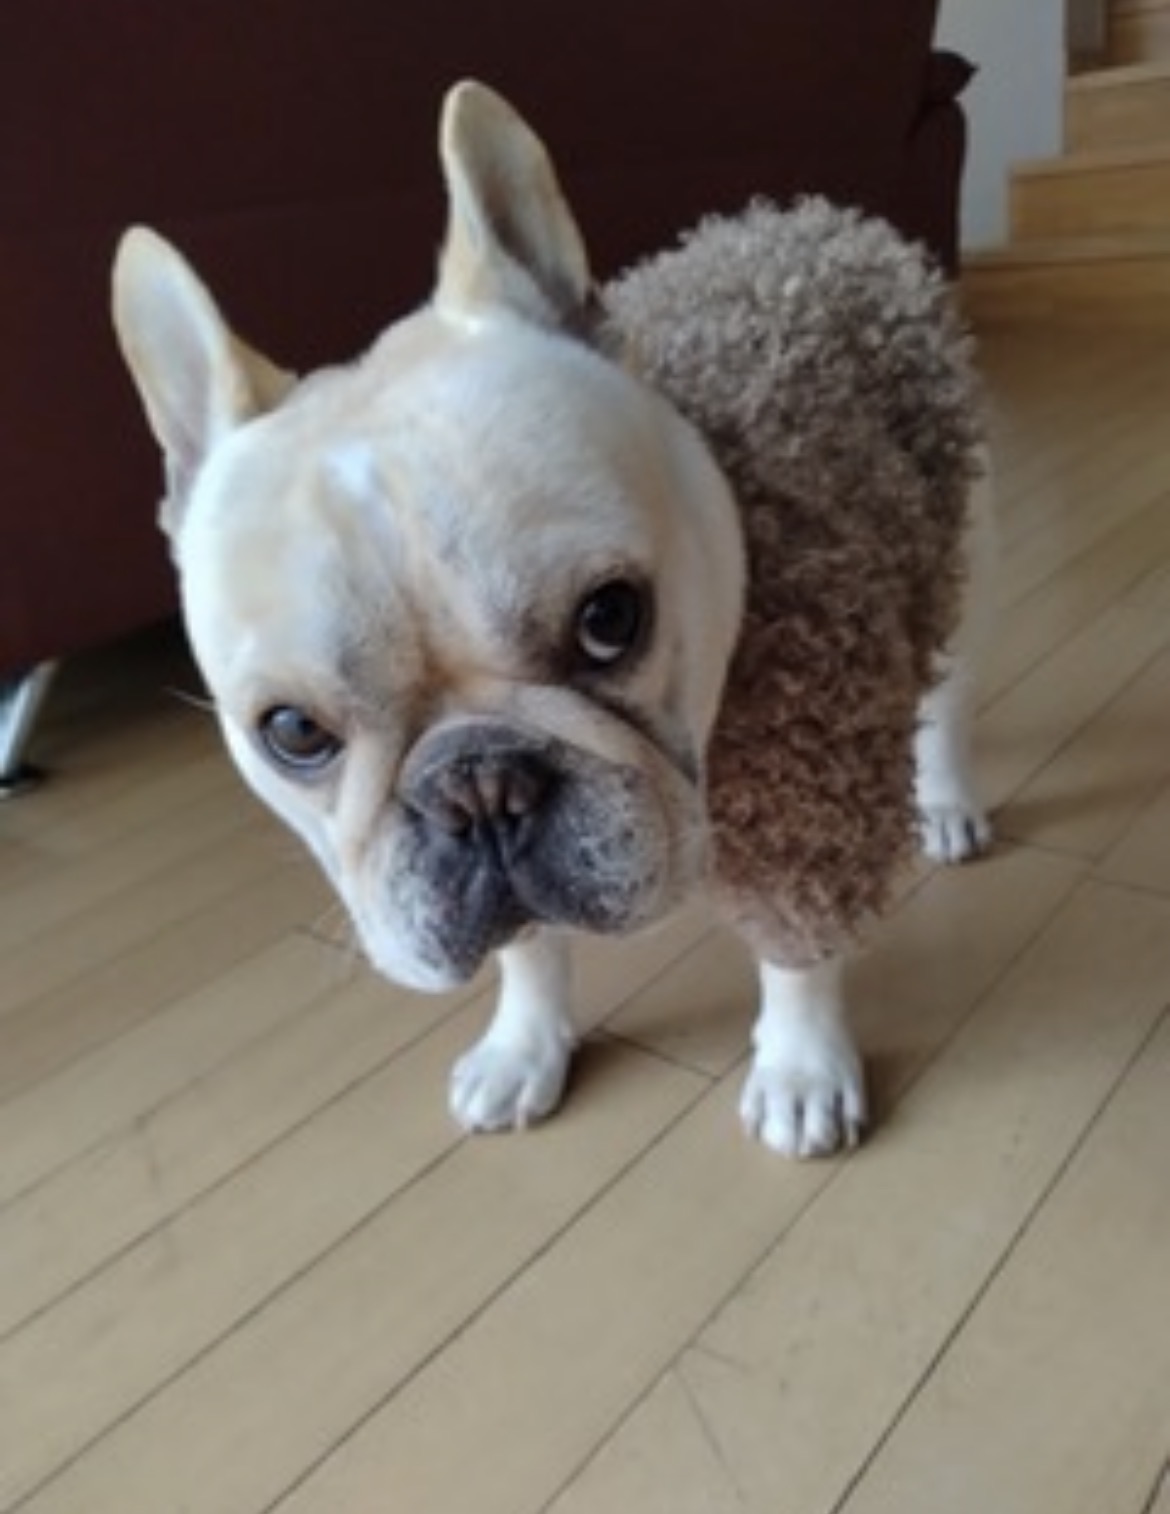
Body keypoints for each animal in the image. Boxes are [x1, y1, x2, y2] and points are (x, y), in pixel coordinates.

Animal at [113, 81, 992, 1158]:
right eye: (292, 733)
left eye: (610, 617)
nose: (480, 784)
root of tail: (813, 216)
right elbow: (525, 950)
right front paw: (524, 1044)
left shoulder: (807, 796)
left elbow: (796, 944)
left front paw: (800, 1066)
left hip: (957, 534)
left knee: (946, 691)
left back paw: (946, 800)